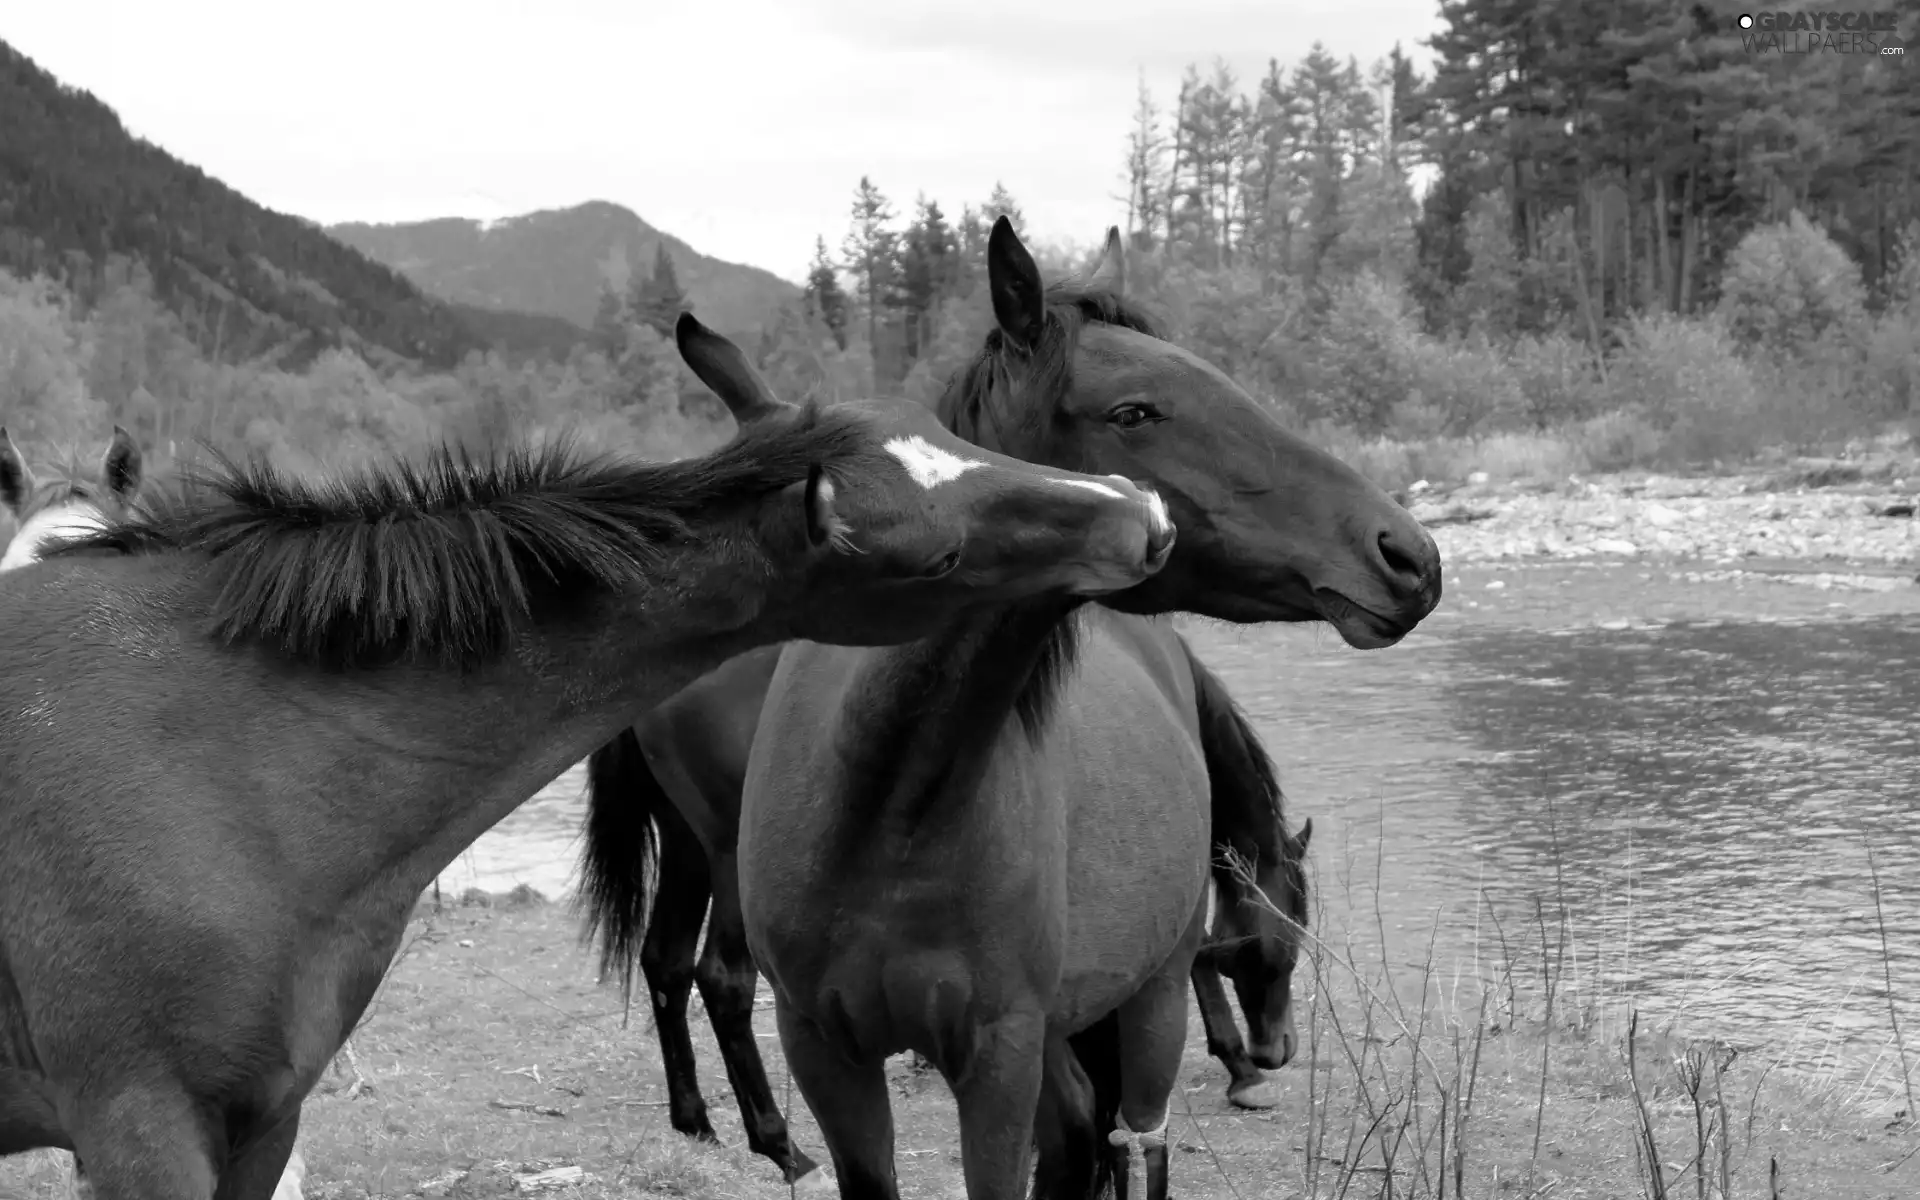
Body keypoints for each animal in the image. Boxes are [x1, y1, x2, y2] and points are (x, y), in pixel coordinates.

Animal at [0, 316, 1182, 1198]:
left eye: (944, 430)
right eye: (936, 555)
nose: (1144, 512)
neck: (218, 756)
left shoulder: (265, 1127)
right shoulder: (143, 1136)